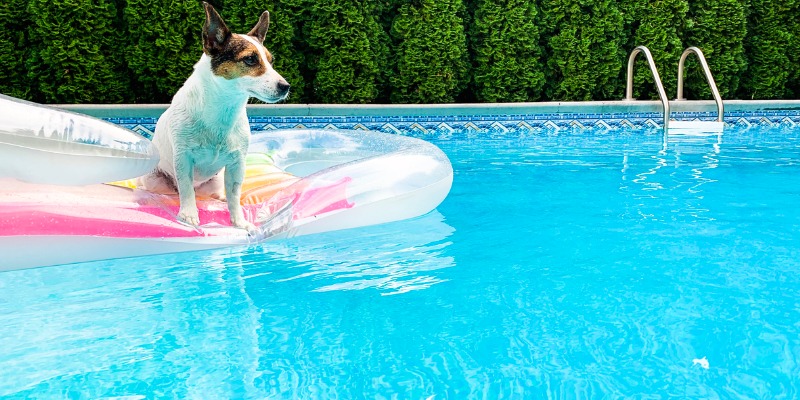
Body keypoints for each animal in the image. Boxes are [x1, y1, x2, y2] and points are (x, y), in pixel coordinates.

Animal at [141, 1, 290, 231]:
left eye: (271, 61)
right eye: (250, 59)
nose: (285, 87)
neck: (223, 107)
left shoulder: (237, 163)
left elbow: (234, 194)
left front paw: (239, 221)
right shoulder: (183, 158)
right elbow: (185, 188)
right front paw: (189, 215)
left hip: (216, 181)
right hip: (153, 180)